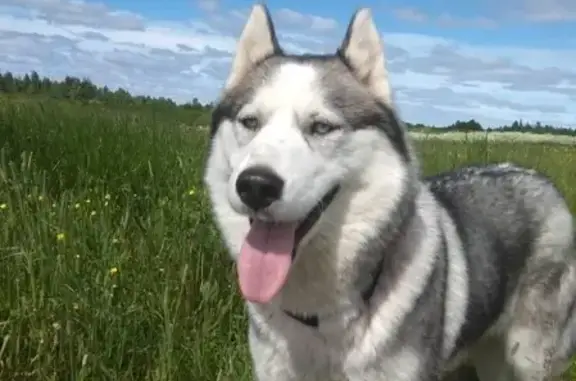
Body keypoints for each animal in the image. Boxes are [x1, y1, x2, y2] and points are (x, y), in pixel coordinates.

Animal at [204, 3, 576, 380]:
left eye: (321, 126)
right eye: (250, 122)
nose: (255, 185)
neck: (320, 319)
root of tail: (542, 179)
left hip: (527, 359)